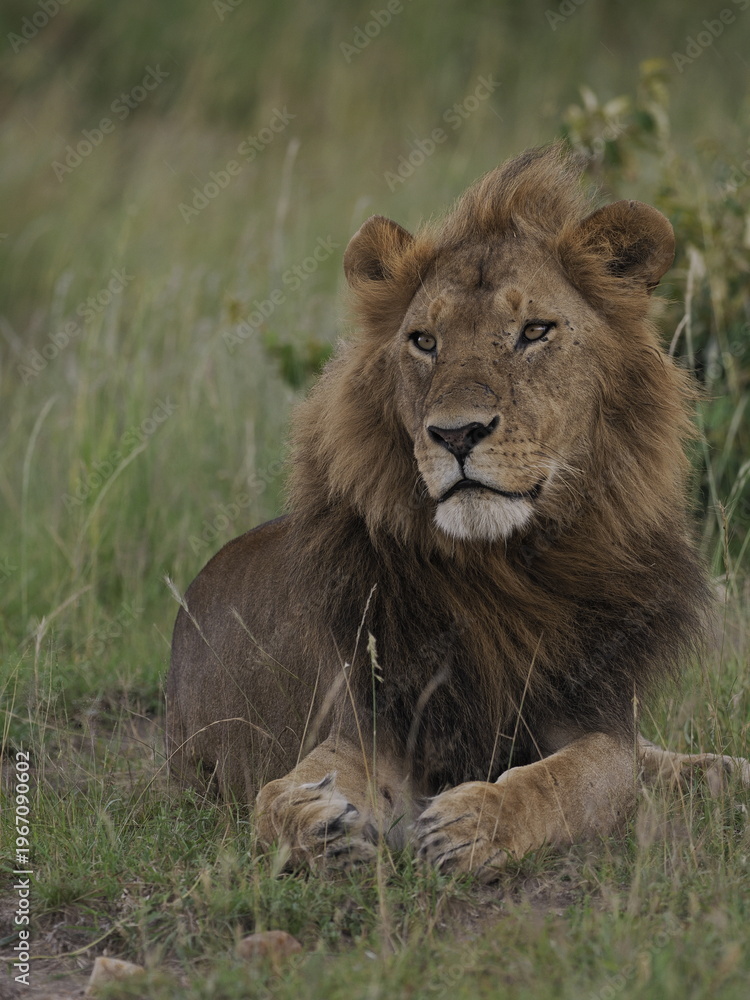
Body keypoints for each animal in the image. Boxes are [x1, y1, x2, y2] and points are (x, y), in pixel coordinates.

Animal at [167, 145, 749, 879]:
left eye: (535, 331)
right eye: (423, 340)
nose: (456, 434)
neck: (505, 572)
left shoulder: (596, 719)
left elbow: (576, 778)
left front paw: (477, 820)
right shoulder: (372, 721)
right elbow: (278, 794)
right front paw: (318, 823)